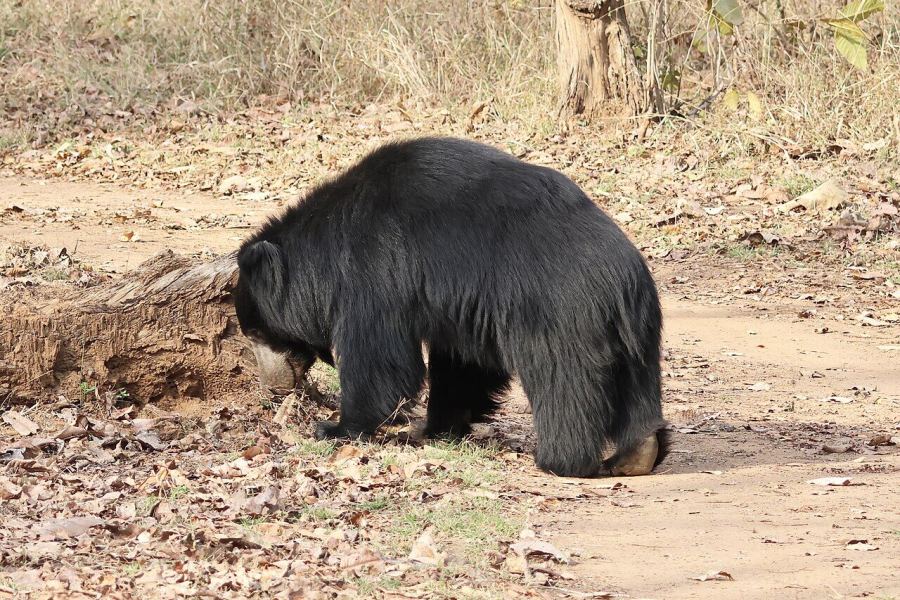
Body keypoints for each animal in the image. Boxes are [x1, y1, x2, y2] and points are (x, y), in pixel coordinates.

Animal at [233, 137, 668, 477]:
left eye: (257, 332)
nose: (273, 387)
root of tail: (621, 278)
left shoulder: (375, 271)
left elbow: (378, 356)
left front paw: (336, 427)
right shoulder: (462, 307)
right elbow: (463, 365)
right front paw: (439, 427)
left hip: (559, 317)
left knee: (562, 381)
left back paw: (561, 461)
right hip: (638, 330)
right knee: (637, 382)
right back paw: (637, 453)